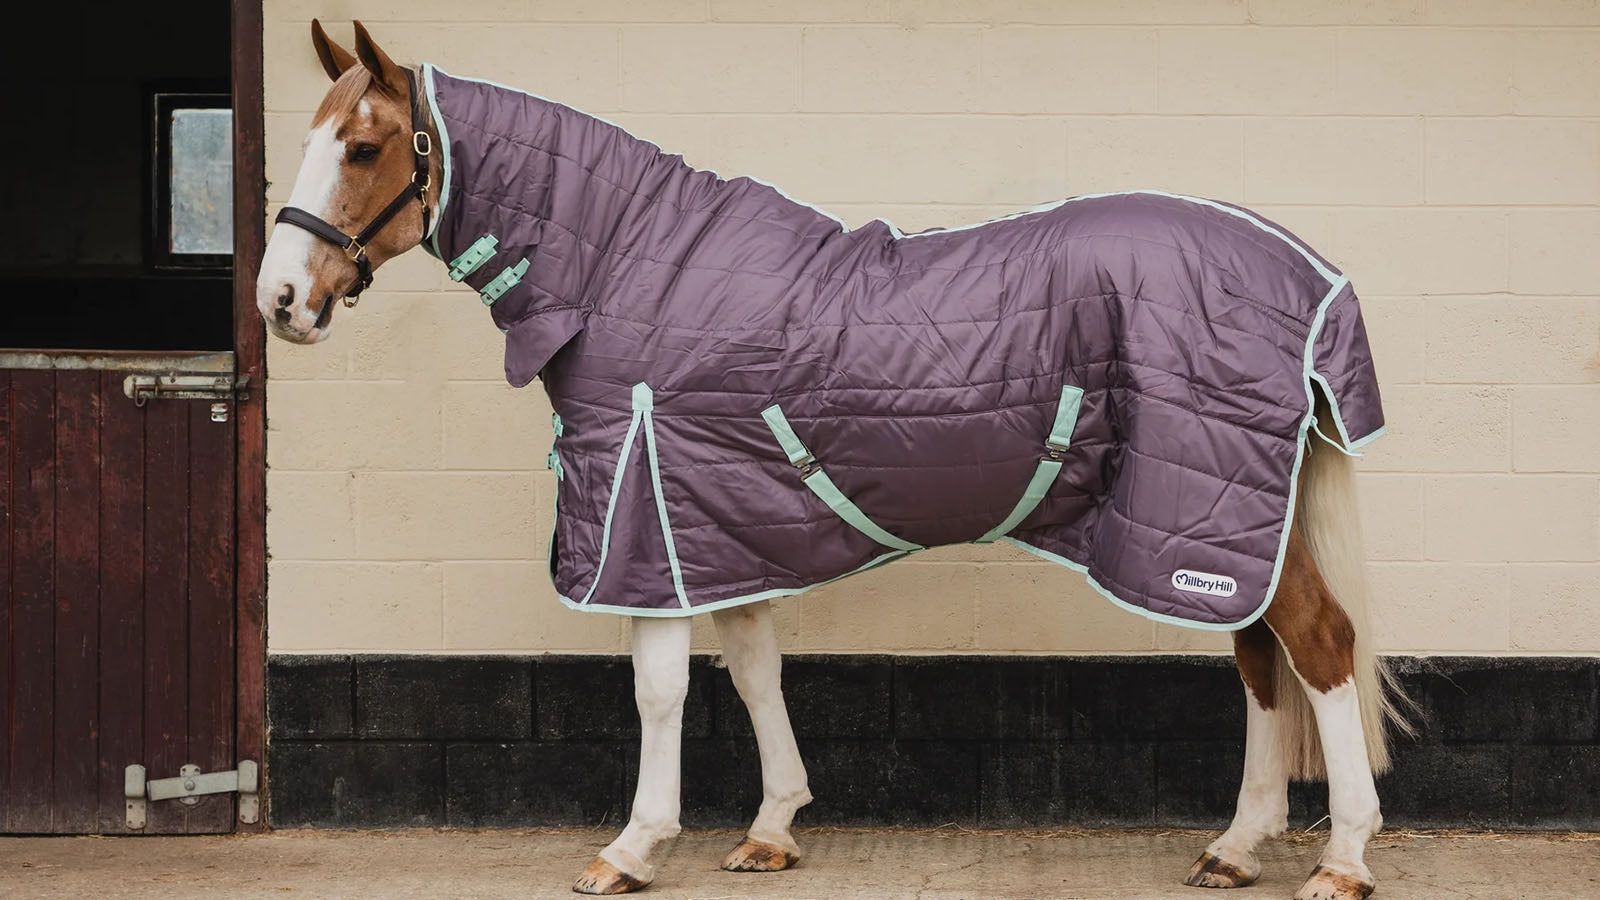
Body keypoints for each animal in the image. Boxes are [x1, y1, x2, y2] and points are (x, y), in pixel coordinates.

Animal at [259, 21, 1410, 900]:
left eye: (360, 148)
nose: (279, 301)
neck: (634, 269)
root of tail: (1306, 274)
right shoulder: (716, 518)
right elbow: (754, 666)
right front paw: (772, 827)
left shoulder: (645, 513)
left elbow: (661, 690)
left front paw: (631, 847)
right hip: (1217, 524)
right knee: (1260, 658)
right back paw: (1237, 846)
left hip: (1204, 523)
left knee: (1317, 644)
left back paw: (1344, 858)